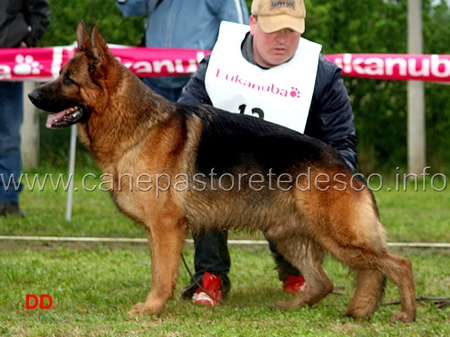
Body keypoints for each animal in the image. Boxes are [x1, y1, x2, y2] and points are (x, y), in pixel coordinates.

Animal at [27, 22, 414, 322]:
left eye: (68, 79)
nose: (31, 96)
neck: (135, 125)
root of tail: (344, 165)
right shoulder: (157, 231)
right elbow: (157, 270)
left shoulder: (166, 228)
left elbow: (161, 276)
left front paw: (152, 309)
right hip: (291, 235)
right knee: (326, 281)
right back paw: (297, 306)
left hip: (339, 236)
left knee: (399, 264)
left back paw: (405, 313)